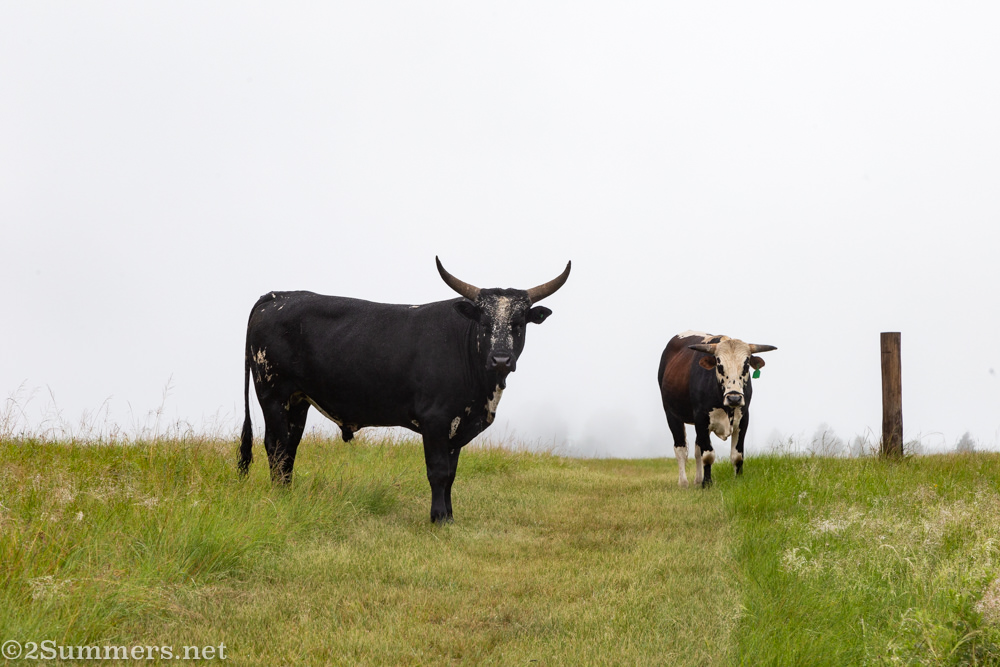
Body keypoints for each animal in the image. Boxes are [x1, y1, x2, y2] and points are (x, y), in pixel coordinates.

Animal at [239, 257, 571, 522]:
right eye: (485, 323)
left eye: (518, 323)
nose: (501, 359)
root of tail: (277, 296)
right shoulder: (435, 419)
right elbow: (438, 471)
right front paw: (439, 519)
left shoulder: (457, 426)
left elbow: (451, 474)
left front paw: (450, 516)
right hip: (272, 394)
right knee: (276, 446)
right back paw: (279, 498)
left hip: (298, 400)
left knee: (290, 447)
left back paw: (288, 494)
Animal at [657, 331, 776, 488]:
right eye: (719, 366)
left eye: (746, 366)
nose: (734, 398)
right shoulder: (701, 418)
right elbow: (708, 455)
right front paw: (707, 483)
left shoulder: (743, 419)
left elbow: (737, 456)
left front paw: (738, 480)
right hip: (672, 415)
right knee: (681, 449)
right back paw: (683, 483)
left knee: (697, 450)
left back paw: (697, 480)